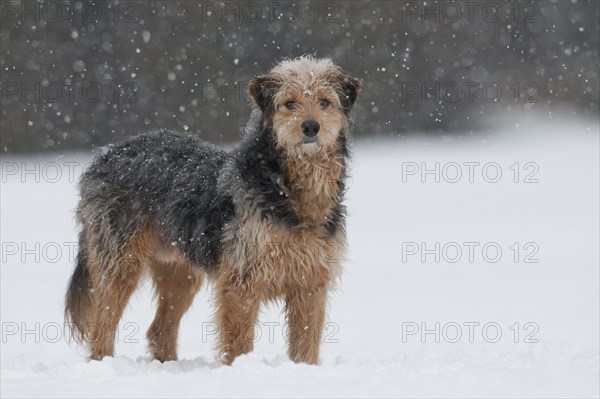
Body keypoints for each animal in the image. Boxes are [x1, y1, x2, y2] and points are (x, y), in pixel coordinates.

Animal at [64, 56, 360, 366]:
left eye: (325, 101)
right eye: (289, 103)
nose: (311, 127)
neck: (288, 187)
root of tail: (105, 154)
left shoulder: (311, 283)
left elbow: (305, 343)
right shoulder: (242, 279)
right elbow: (239, 340)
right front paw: (240, 368)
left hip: (180, 273)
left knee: (158, 331)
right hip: (120, 263)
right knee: (102, 326)